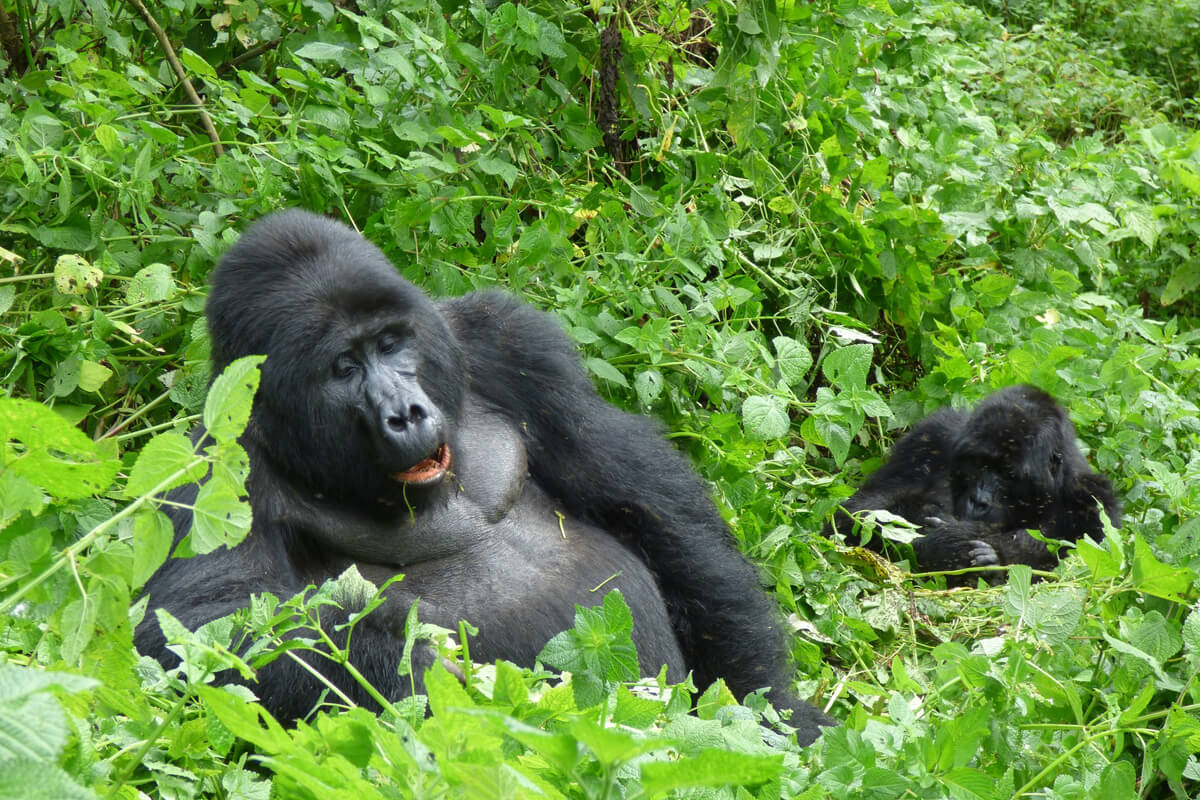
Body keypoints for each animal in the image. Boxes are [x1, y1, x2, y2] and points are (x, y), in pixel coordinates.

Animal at [136, 208, 835, 743]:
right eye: (343, 367)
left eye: (390, 344)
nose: (406, 413)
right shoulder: (206, 469)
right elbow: (197, 634)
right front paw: (417, 667)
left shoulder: (508, 340)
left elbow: (654, 512)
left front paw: (771, 711)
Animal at [825, 386, 1113, 575]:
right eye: (978, 463)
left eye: (1009, 475)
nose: (979, 500)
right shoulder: (930, 436)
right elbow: (856, 513)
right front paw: (941, 545)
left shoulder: (1094, 498)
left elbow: (1085, 562)